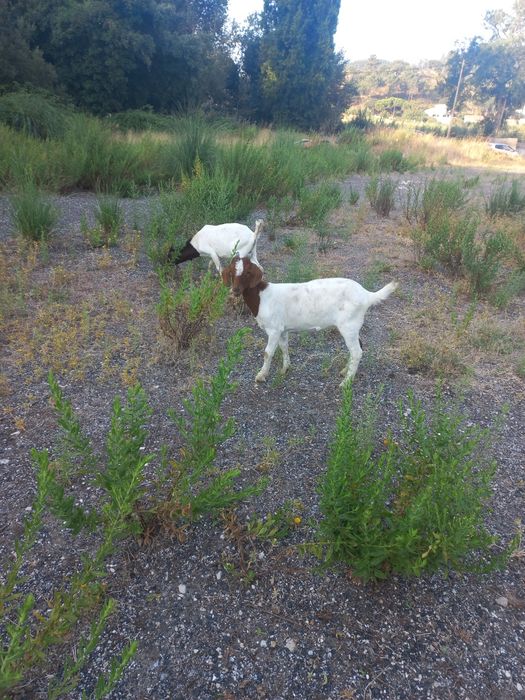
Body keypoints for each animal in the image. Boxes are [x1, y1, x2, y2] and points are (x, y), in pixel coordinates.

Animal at [222, 257, 397, 386]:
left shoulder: (274, 329)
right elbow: (284, 347)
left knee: (357, 351)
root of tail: (367, 295)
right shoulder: (282, 329)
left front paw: (261, 375)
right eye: (231, 272)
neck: (262, 297)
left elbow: (268, 353)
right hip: (353, 326)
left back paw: (346, 383)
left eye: (247, 273)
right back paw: (344, 371)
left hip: (349, 325)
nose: (235, 290)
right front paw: (285, 368)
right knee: (358, 348)